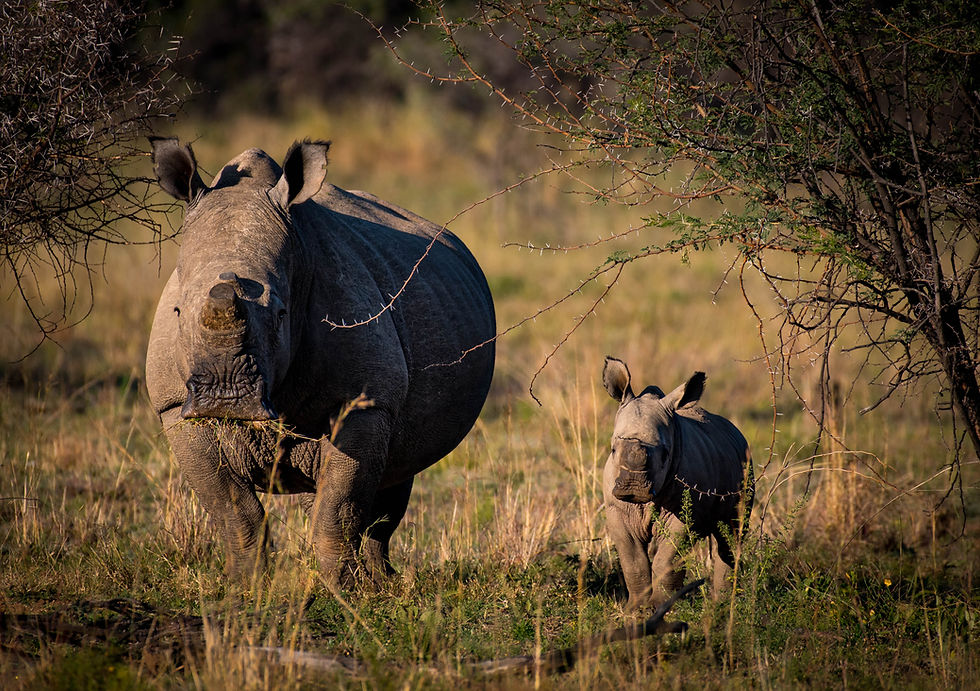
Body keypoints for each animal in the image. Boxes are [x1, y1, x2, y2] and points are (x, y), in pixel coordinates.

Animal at [145, 137, 495, 588]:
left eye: (281, 314)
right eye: (176, 313)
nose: (226, 399)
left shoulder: (366, 403)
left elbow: (339, 506)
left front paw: (346, 589)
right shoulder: (174, 407)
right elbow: (232, 508)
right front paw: (243, 586)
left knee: (390, 485)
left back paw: (385, 584)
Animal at [600, 357, 753, 610]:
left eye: (665, 454)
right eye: (613, 449)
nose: (633, 488)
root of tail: (734, 429)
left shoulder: (684, 514)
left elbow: (667, 559)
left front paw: (661, 607)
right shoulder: (618, 509)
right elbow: (633, 561)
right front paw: (635, 609)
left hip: (746, 463)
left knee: (732, 533)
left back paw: (722, 604)